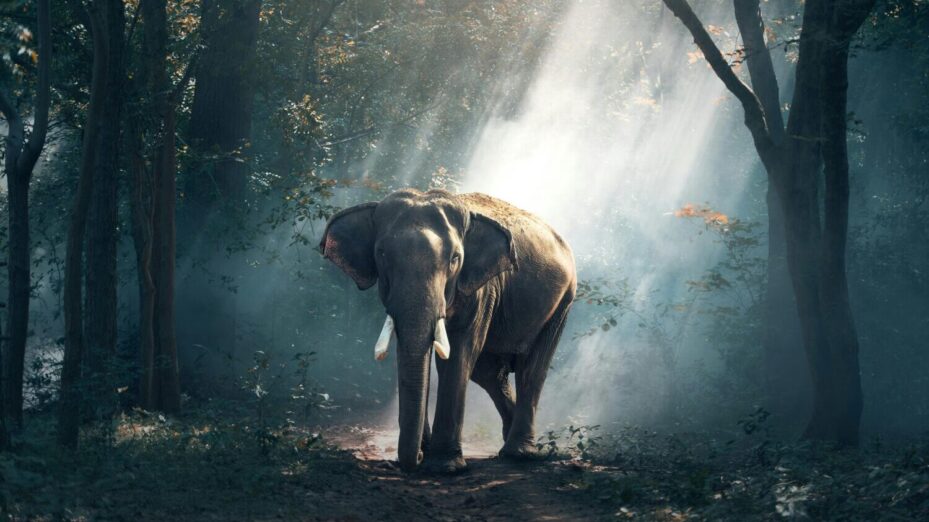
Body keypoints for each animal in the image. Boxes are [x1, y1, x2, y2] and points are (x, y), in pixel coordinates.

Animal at [320, 189, 576, 472]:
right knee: (489, 373)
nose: (416, 458)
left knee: (531, 369)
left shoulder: (481, 288)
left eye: (455, 259)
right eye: (382, 254)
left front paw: (444, 466)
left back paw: (520, 453)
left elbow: (458, 354)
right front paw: (428, 453)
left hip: (563, 301)